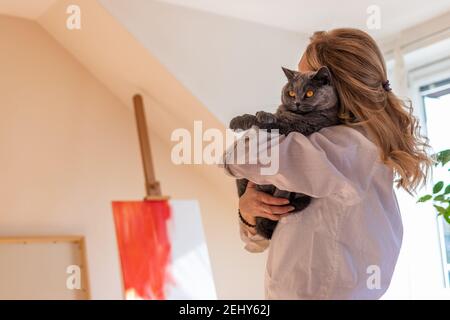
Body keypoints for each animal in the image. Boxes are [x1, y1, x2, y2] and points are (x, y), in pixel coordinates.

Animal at [230, 66, 340, 239]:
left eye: (309, 93)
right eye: (291, 93)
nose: (297, 102)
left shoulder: (297, 126)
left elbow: (268, 122)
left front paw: (251, 118)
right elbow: (268, 115)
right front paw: (246, 117)